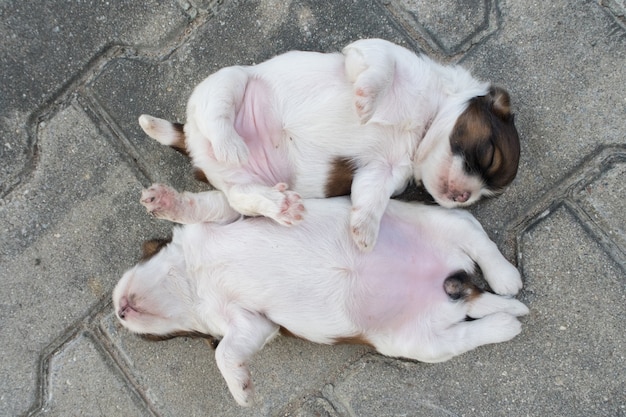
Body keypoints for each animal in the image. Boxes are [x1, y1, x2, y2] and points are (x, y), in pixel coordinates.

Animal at [113, 184, 528, 404]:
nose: (118, 313)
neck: (191, 281)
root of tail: (456, 285)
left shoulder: (219, 214)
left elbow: (202, 205)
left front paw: (163, 201)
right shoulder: (250, 323)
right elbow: (227, 350)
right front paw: (241, 386)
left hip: (439, 219)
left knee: (478, 240)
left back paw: (506, 279)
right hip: (417, 343)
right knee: (466, 334)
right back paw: (504, 321)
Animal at [139, 38, 520, 250]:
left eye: (481, 196)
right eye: (488, 154)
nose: (462, 197)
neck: (422, 124)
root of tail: (192, 142)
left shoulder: (383, 171)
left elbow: (371, 199)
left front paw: (364, 231)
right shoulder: (376, 51)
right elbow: (381, 69)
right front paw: (366, 101)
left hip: (237, 193)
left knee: (232, 199)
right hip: (228, 80)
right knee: (217, 111)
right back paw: (229, 143)